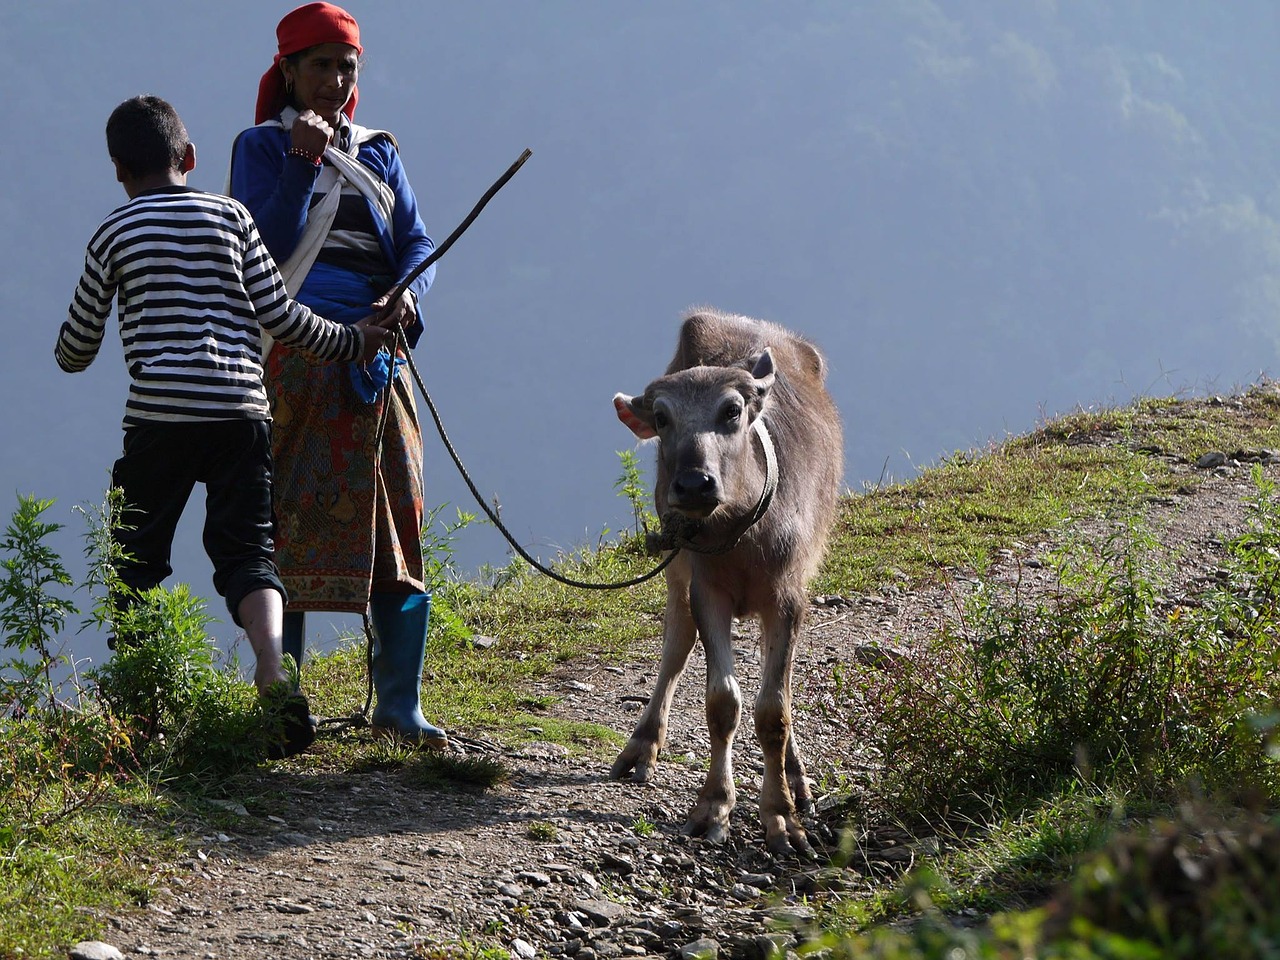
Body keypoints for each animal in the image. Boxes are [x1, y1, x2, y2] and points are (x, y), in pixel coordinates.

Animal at [609, 309, 839, 855]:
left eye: (732, 410)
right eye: (663, 417)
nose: (694, 483)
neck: (745, 535)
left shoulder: (789, 597)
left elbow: (774, 710)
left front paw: (781, 817)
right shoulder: (706, 591)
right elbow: (723, 703)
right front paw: (714, 807)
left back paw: (797, 779)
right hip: (677, 572)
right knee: (676, 646)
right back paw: (642, 748)